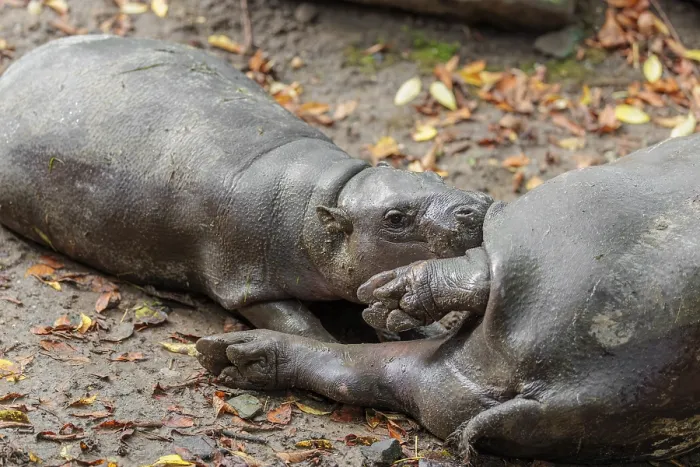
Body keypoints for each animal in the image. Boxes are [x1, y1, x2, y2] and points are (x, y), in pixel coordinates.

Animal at [0, 35, 492, 343]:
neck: (325, 199)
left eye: (434, 175)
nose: (475, 205)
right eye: (394, 218)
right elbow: (299, 326)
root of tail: (14, 70)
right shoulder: (245, 280)